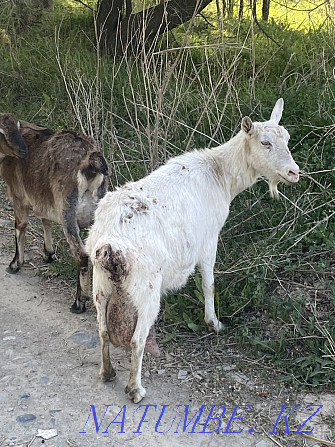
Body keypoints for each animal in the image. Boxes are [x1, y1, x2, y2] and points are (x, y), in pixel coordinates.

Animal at [0, 114, 107, 314]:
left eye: (16, 127)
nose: (22, 151)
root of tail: (90, 162)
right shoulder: (43, 197)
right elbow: (45, 220)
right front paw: (48, 254)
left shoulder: (17, 196)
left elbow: (20, 226)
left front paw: (15, 264)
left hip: (68, 211)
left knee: (81, 255)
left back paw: (79, 302)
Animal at [85, 99, 300, 406]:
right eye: (265, 142)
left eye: (288, 139)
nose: (294, 172)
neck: (220, 174)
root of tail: (110, 245)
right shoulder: (208, 239)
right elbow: (209, 283)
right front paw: (214, 323)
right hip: (146, 286)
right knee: (137, 339)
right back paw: (135, 389)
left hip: (100, 283)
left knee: (102, 329)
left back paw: (107, 373)